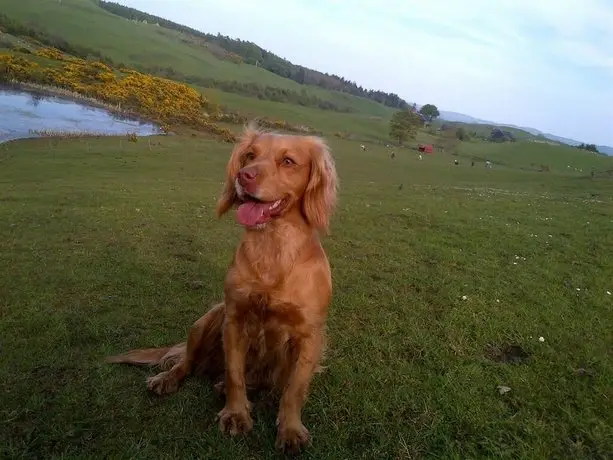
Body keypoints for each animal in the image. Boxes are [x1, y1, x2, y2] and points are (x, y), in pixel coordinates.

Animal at [110, 123, 340, 452]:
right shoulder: (234, 319)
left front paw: (291, 429)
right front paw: (235, 413)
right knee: (187, 362)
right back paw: (168, 378)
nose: (243, 176)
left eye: (288, 161)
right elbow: (234, 373)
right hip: (205, 320)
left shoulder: (310, 335)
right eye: (250, 155)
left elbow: (294, 388)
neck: (273, 247)